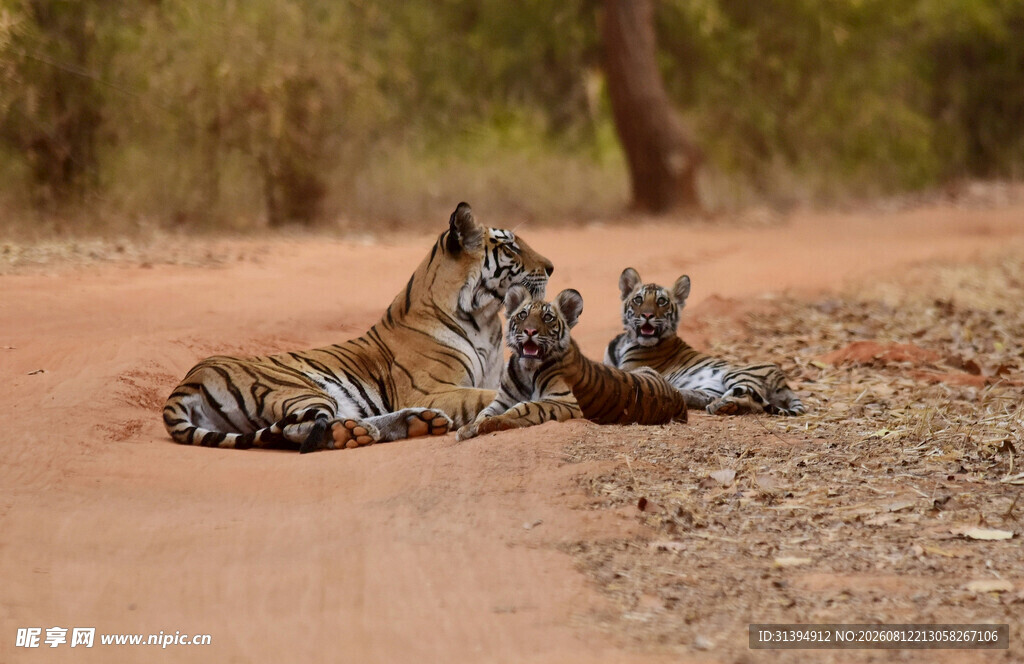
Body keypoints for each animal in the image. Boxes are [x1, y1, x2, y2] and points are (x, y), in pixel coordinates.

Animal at [163, 202, 553, 453]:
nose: (551, 267)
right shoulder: (431, 388)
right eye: (510, 246)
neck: (485, 318)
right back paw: (357, 433)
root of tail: (186, 382)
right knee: (297, 430)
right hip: (299, 389)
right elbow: (485, 397)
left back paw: (418, 423)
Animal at [456, 285, 688, 440]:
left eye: (547, 318)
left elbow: (525, 407)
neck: (526, 370)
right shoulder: (502, 400)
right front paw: (469, 428)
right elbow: (484, 412)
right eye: (522, 314)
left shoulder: (564, 401)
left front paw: (491, 424)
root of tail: (678, 398)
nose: (529, 331)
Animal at [604, 267, 805, 416]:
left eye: (661, 301)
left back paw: (721, 406)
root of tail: (783, 381)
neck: (626, 340)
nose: (647, 315)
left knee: (751, 401)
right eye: (638, 299)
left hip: (737, 374)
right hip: (710, 388)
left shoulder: (630, 369)